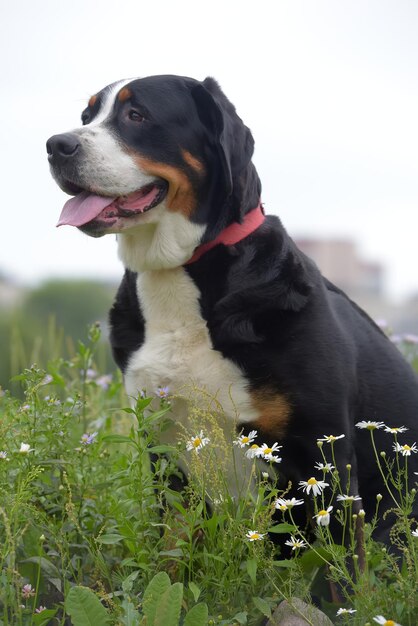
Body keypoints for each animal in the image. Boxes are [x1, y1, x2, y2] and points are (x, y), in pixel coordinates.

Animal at [47, 73, 418, 540]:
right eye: (86, 116)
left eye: (136, 114)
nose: (56, 144)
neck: (177, 273)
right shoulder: (166, 448)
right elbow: (173, 548)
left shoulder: (324, 448)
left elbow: (340, 557)